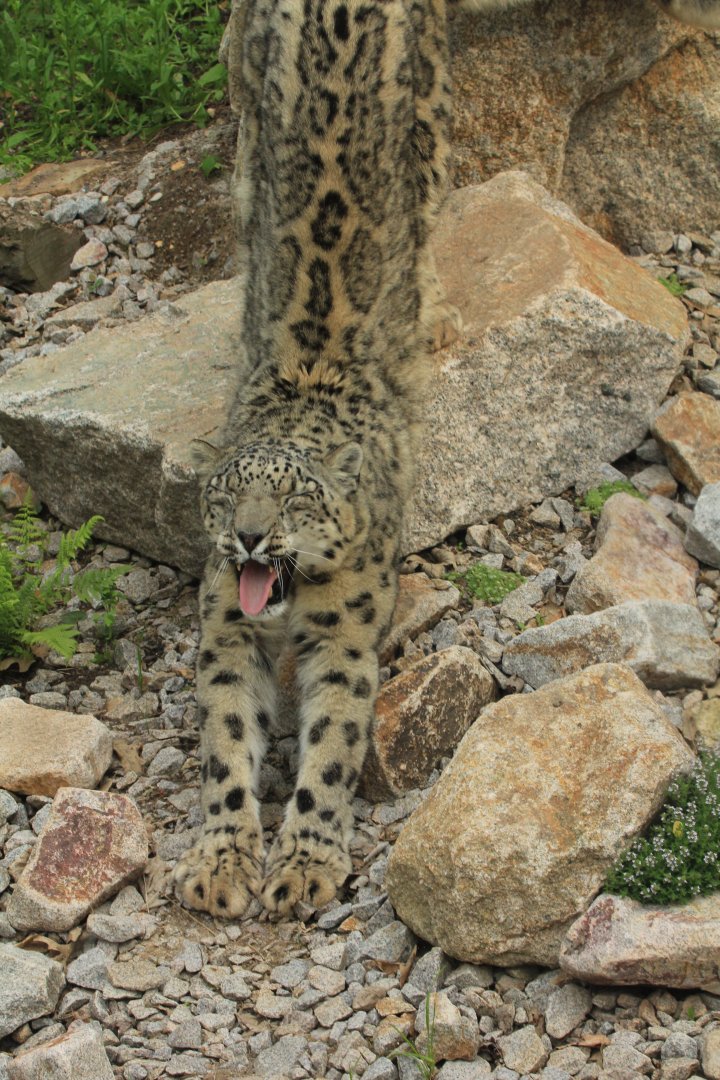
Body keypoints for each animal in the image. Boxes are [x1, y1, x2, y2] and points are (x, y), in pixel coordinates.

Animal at [173, 0, 720, 922]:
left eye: (295, 502)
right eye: (225, 498)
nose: (248, 539)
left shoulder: (346, 632)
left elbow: (330, 745)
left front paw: (304, 862)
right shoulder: (225, 625)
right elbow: (224, 739)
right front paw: (220, 860)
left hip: (432, 117)